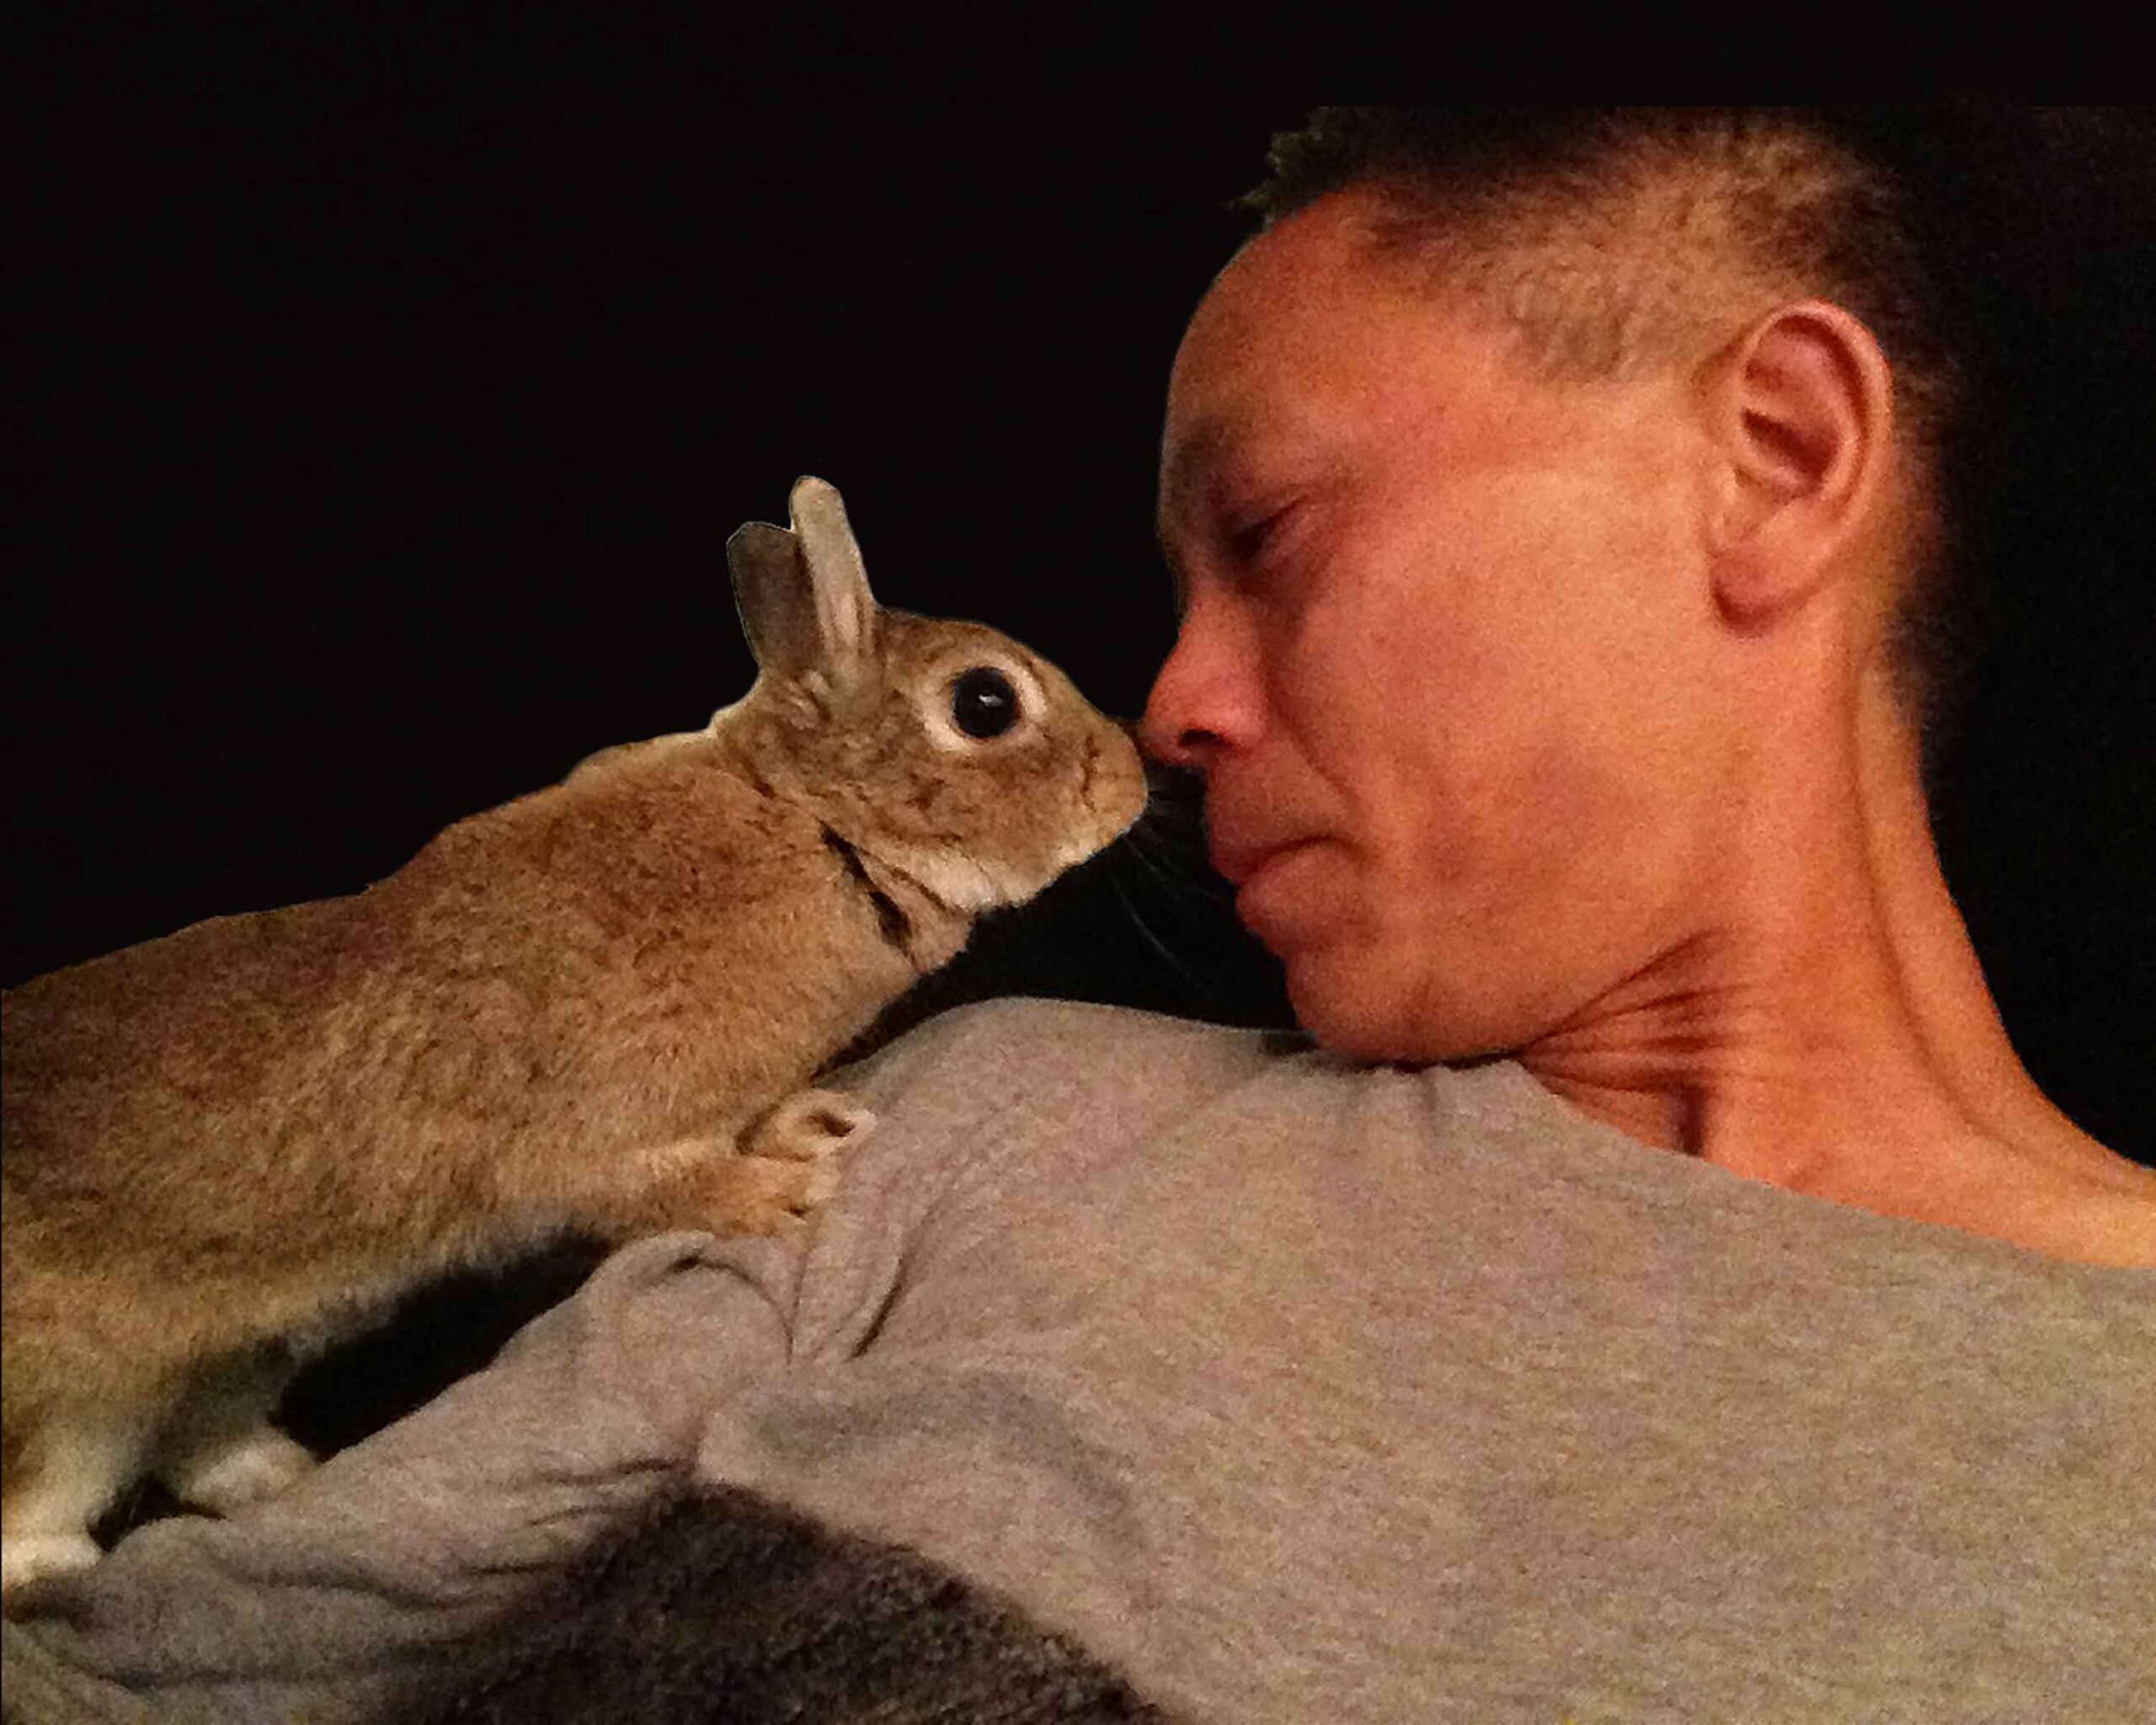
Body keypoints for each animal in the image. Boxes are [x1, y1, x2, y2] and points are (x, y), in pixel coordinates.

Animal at [0, 476, 1148, 1601]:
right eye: (985, 702)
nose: (1133, 780)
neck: (813, 824)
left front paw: (813, 1127)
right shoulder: (607, 1137)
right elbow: (654, 1187)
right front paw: (784, 1195)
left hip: (238, 1358)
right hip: (75, 1417)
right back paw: (69, 1567)